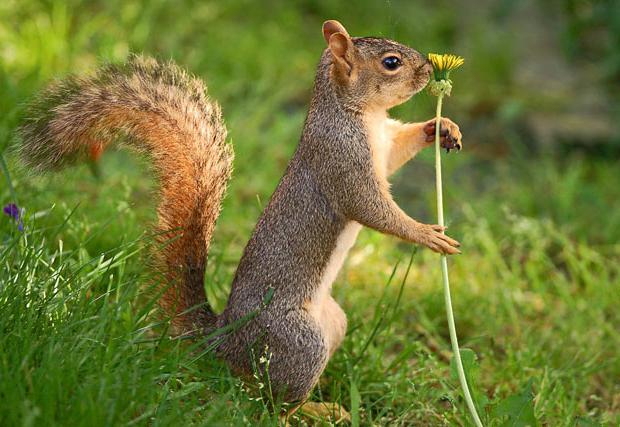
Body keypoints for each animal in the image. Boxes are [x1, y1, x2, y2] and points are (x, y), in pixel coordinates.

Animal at [18, 20, 460, 406]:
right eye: (391, 62)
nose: (427, 68)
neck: (358, 115)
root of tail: (225, 340)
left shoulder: (384, 146)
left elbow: (399, 151)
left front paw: (441, 127)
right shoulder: (341, 161)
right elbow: (370, 208)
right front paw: (426, 234)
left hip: (332, 324)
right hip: (300, 343)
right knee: (267, 399)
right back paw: (317, 411)